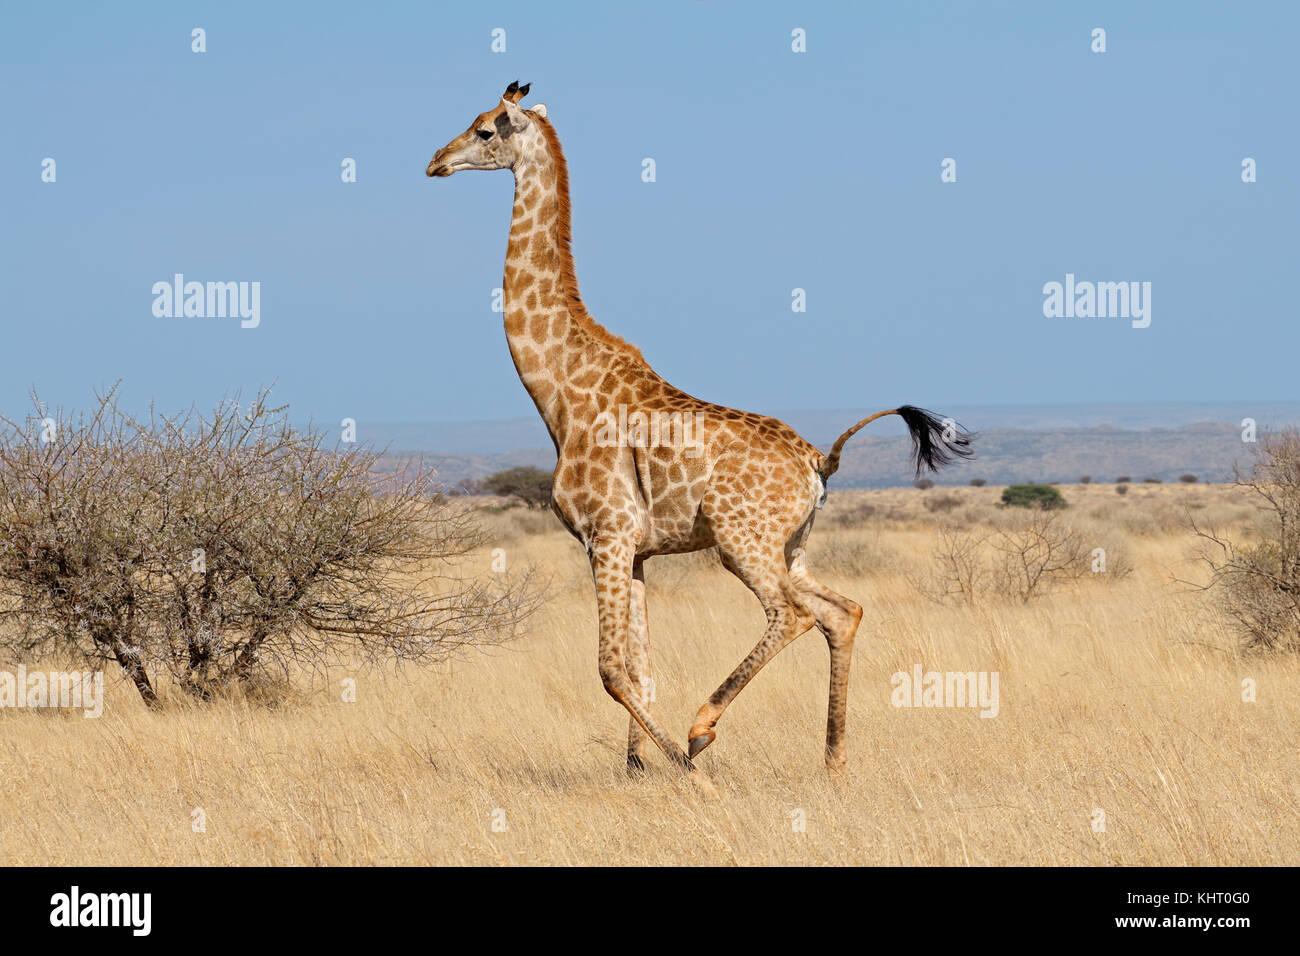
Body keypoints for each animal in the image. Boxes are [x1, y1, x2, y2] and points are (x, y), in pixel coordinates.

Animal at [426, 82, 967, 780]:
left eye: (486, 129)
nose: (436, 160)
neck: (559, 394)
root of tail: (819, 463)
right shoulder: (633, 550)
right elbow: (641, 666)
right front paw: (637, 771)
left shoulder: (606, 536)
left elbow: (611, 670)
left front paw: (687, 776)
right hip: (792, 544)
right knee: (841, 611)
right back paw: (833, 763)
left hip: (742, 541)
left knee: (792, 613)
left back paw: (703, 730)